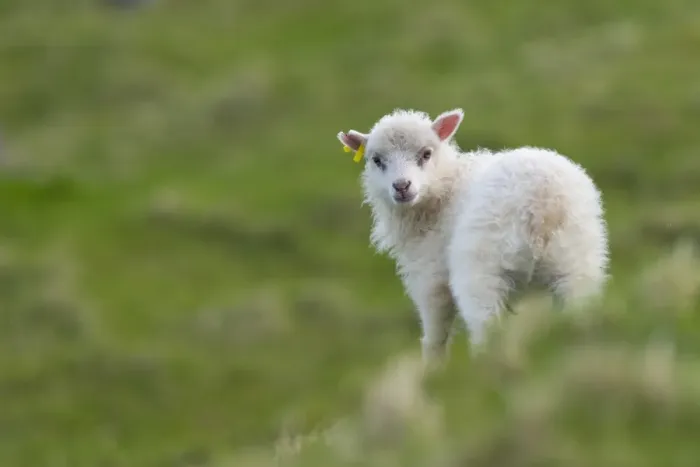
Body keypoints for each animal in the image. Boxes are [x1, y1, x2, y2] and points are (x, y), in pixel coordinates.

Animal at [337, 108, 609, 365]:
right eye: (377, 160)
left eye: (426, 154)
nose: (402, 186)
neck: (444, 189)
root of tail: (544, 203)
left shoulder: (430, 277)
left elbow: (435, 336)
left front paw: (433, 370)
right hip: (576, 266)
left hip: (483, 270)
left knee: (486, 330)